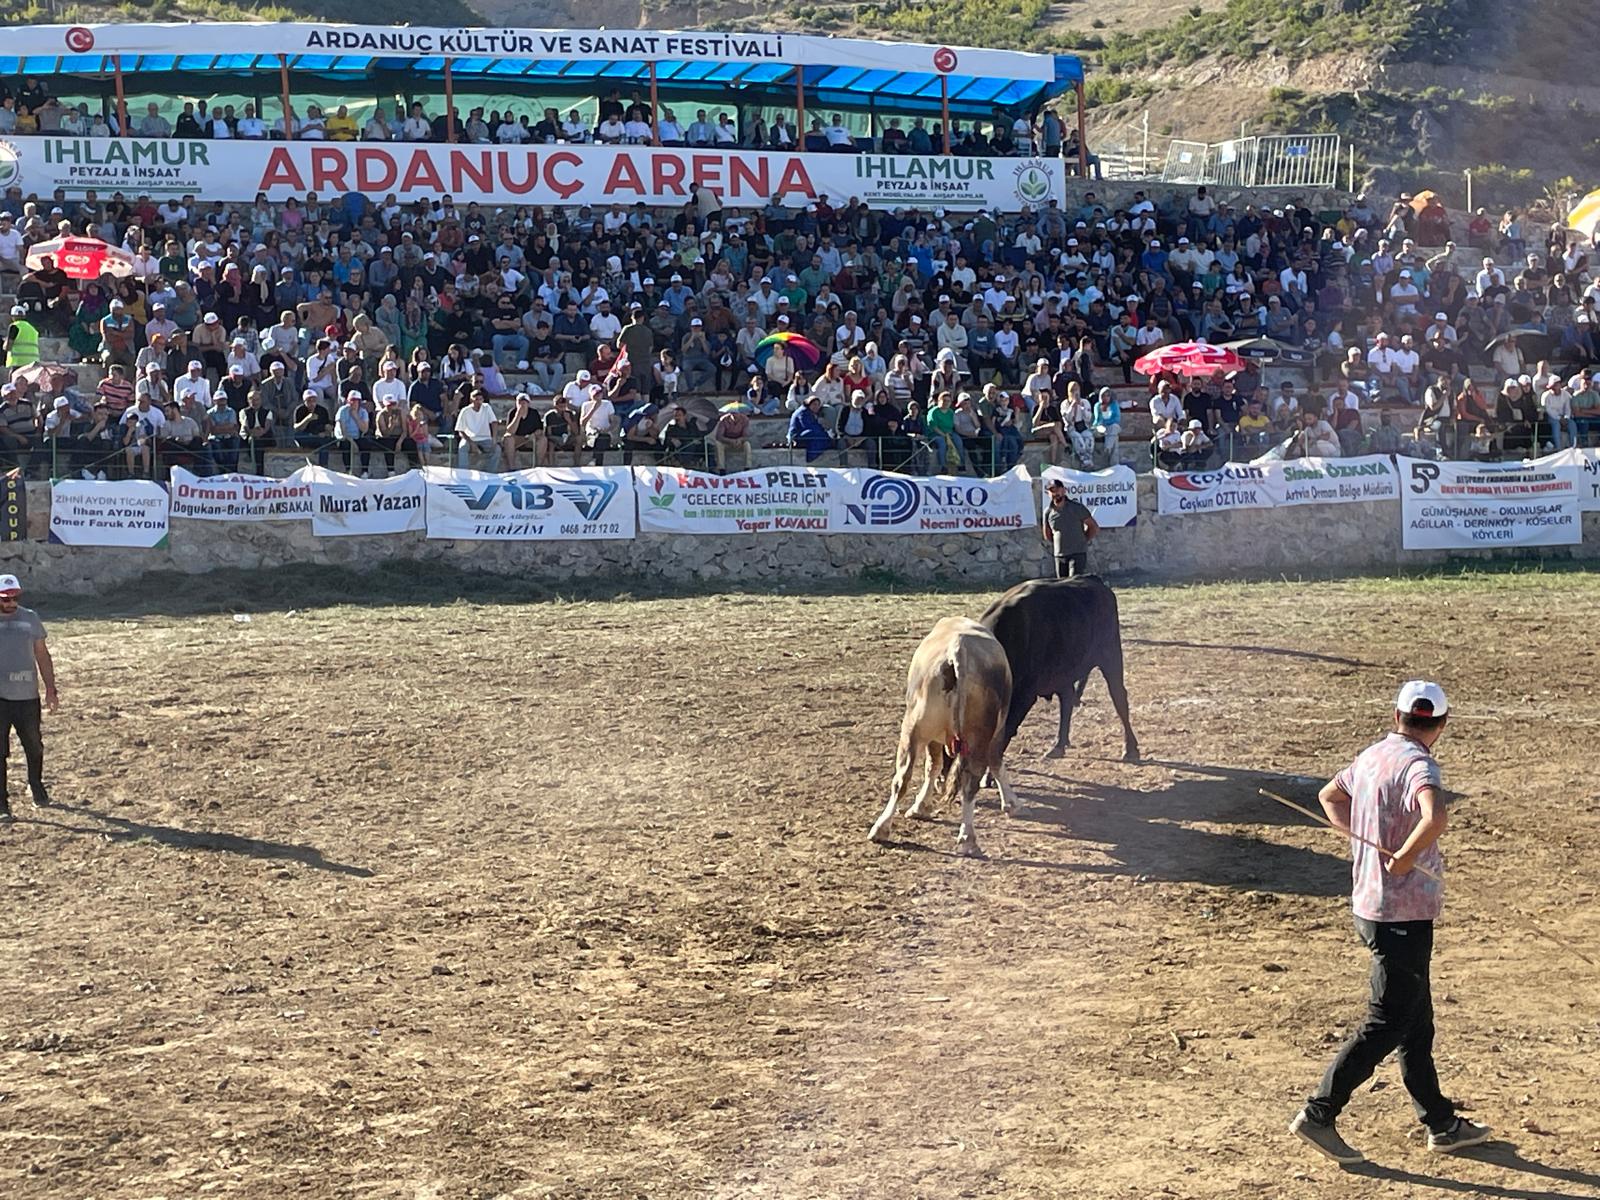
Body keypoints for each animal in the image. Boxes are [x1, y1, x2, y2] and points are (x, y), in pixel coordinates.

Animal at [870, 620, 1017, 857]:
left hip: (913, 730)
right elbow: (995, 762)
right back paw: (968, 838)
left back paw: (881, 828)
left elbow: (933, 766)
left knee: (902, 778)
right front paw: (1011, 802)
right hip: (976, 737)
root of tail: (958, 649)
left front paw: (921, 806)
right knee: (970, 781)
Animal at [972, 579, 1139, 764]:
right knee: (1067, 699)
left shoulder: (1024, 695)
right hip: (1064, 672)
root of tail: (1093, 579)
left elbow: (1005, 731)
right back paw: (1059, 745)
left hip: (1111, 656)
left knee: (1119, 697)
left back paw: (1130, 749)